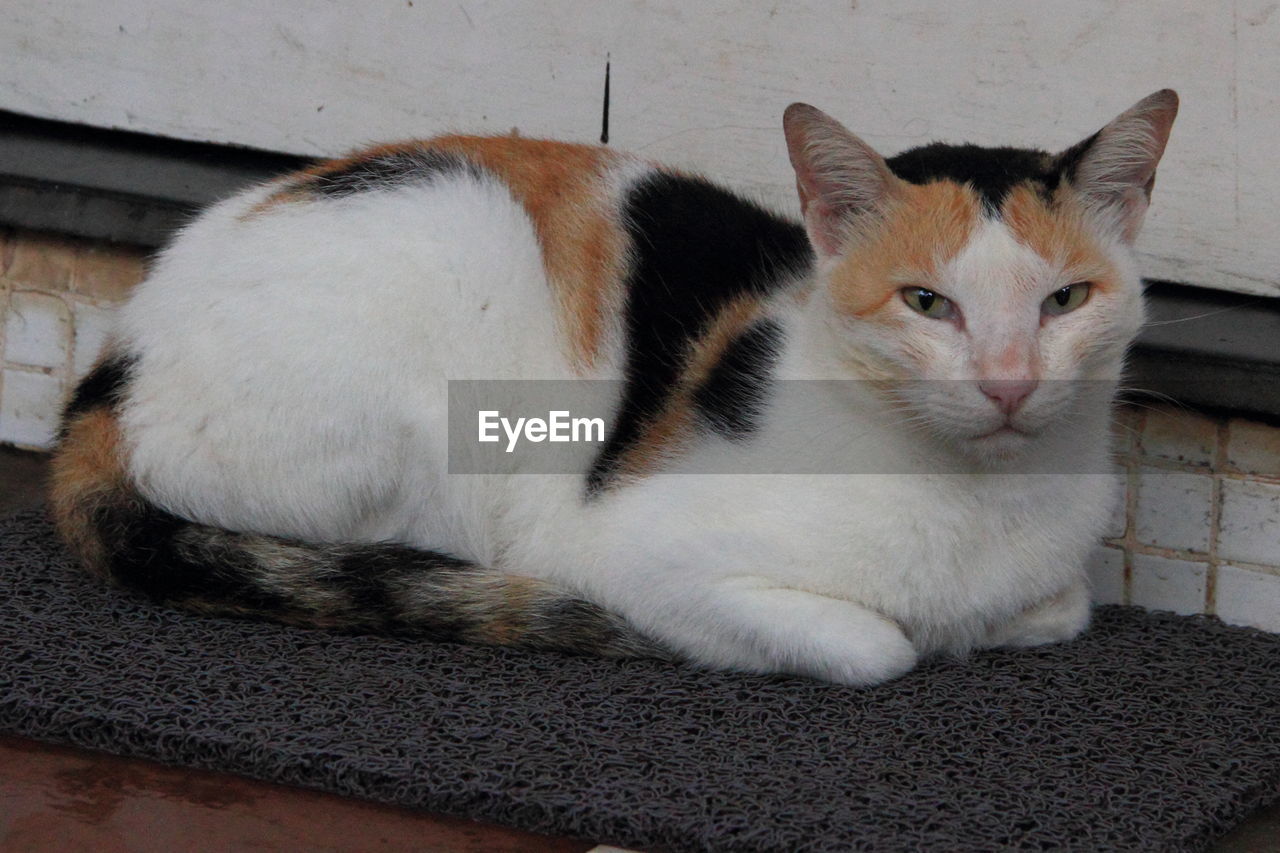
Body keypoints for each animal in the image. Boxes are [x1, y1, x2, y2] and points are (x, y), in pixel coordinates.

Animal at [52, 87, 1177, 686]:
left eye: (1065, 299)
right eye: (927, 303)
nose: (1008, 382)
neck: (980, 505)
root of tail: (111, 361)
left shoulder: (1055, 575)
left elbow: (1059, 606)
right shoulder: (635, 553)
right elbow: (878, 644)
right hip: (452, 286)